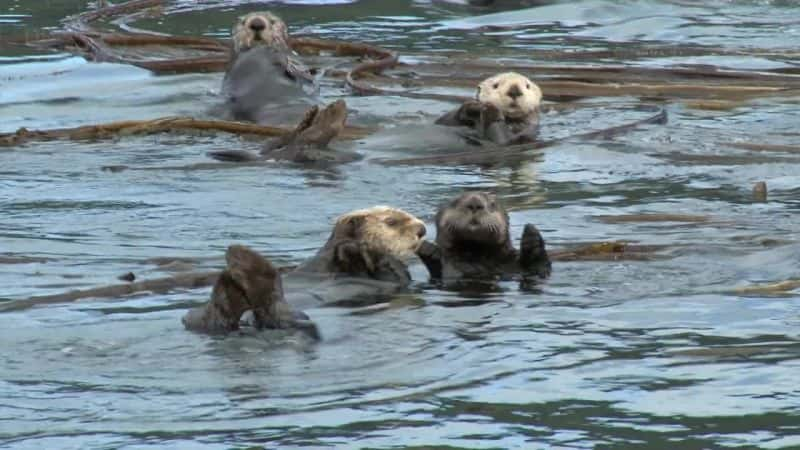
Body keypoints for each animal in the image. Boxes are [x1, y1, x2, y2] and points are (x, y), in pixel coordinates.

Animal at [412, 191, 552, 284]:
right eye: (455, 202)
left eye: (492, 204)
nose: (475, 203)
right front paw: (429, 250)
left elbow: (539, 269)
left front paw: (532, 237)